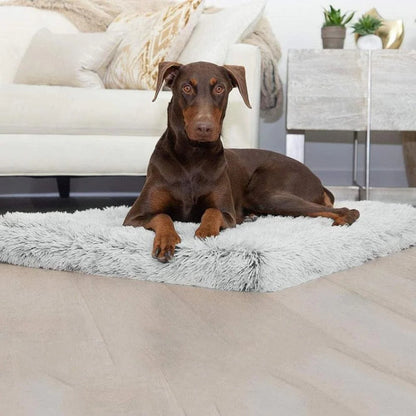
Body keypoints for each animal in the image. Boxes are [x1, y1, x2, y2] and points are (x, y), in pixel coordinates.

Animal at [122, 60, 358, 262]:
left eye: (219, 89)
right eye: (187, 88)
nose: (204, 128)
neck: (193, 157)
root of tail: (318, 180)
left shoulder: (227, 212)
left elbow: (213, 211)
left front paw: (205, 230)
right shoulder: (134, 217)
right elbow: (163, 216)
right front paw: (166, 240)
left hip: (266, 193)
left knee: (345, 209)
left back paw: (344, 219)